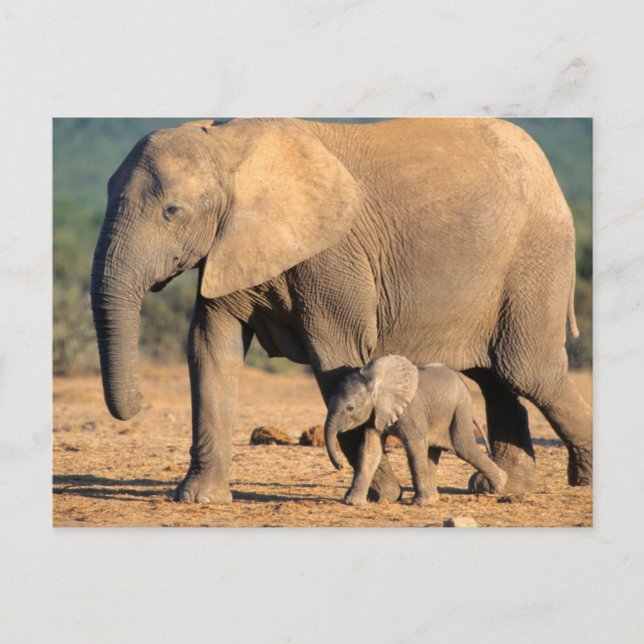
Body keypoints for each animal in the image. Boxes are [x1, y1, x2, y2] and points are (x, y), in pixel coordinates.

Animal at [323, 355, 507, 506]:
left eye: (350, 408)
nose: (339, 466)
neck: (374, 378)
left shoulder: (411, 411)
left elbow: (414, 448)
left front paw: (420, 504)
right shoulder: (375, 414)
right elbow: (370, 450)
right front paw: (352, 502)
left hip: (460, 407)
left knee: (463, 447)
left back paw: (499, 485)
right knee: (433, 451)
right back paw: (434, 499)